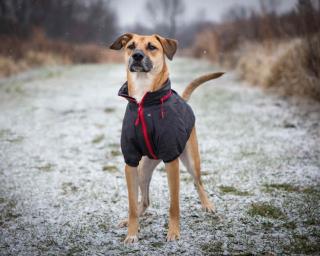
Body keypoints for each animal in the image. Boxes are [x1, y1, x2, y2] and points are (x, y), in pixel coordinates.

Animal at [109, 33, 224, 243]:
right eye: (131, 46)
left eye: (151, 47)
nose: (137, 56)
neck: (143, 102)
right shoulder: (130, 162)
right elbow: (132, 205)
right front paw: (131, 233)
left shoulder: (171, 160)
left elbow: (174, 204)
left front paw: (174, 232)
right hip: (143, 170)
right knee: (145, 201)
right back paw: (131, 218)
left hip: (191, 159)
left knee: (198, 182)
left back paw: (208, 205)